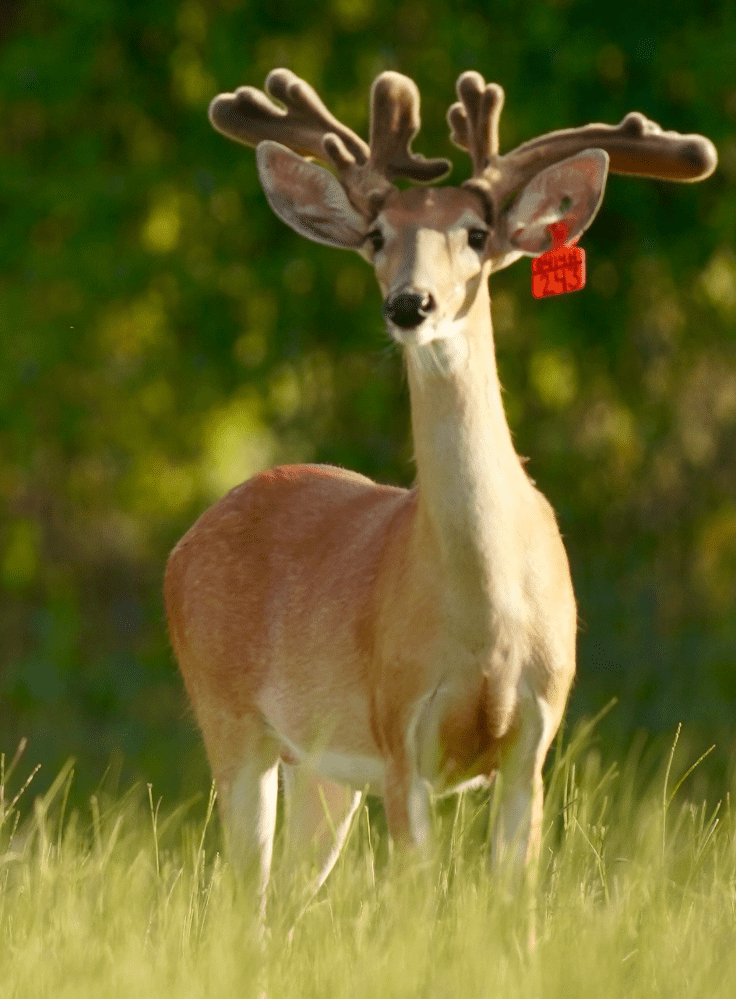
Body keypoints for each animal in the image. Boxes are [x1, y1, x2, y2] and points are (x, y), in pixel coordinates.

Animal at [164, 69, 717, 914]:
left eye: (477, 233)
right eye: (377, 236)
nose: (409, 303)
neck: (486, 617)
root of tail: (188, 537)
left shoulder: (535, 737)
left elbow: (515, 904)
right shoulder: (399, 734)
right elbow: (419, 905)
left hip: (318, 767)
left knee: (285, 897)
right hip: (229, 719)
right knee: (243, 897)